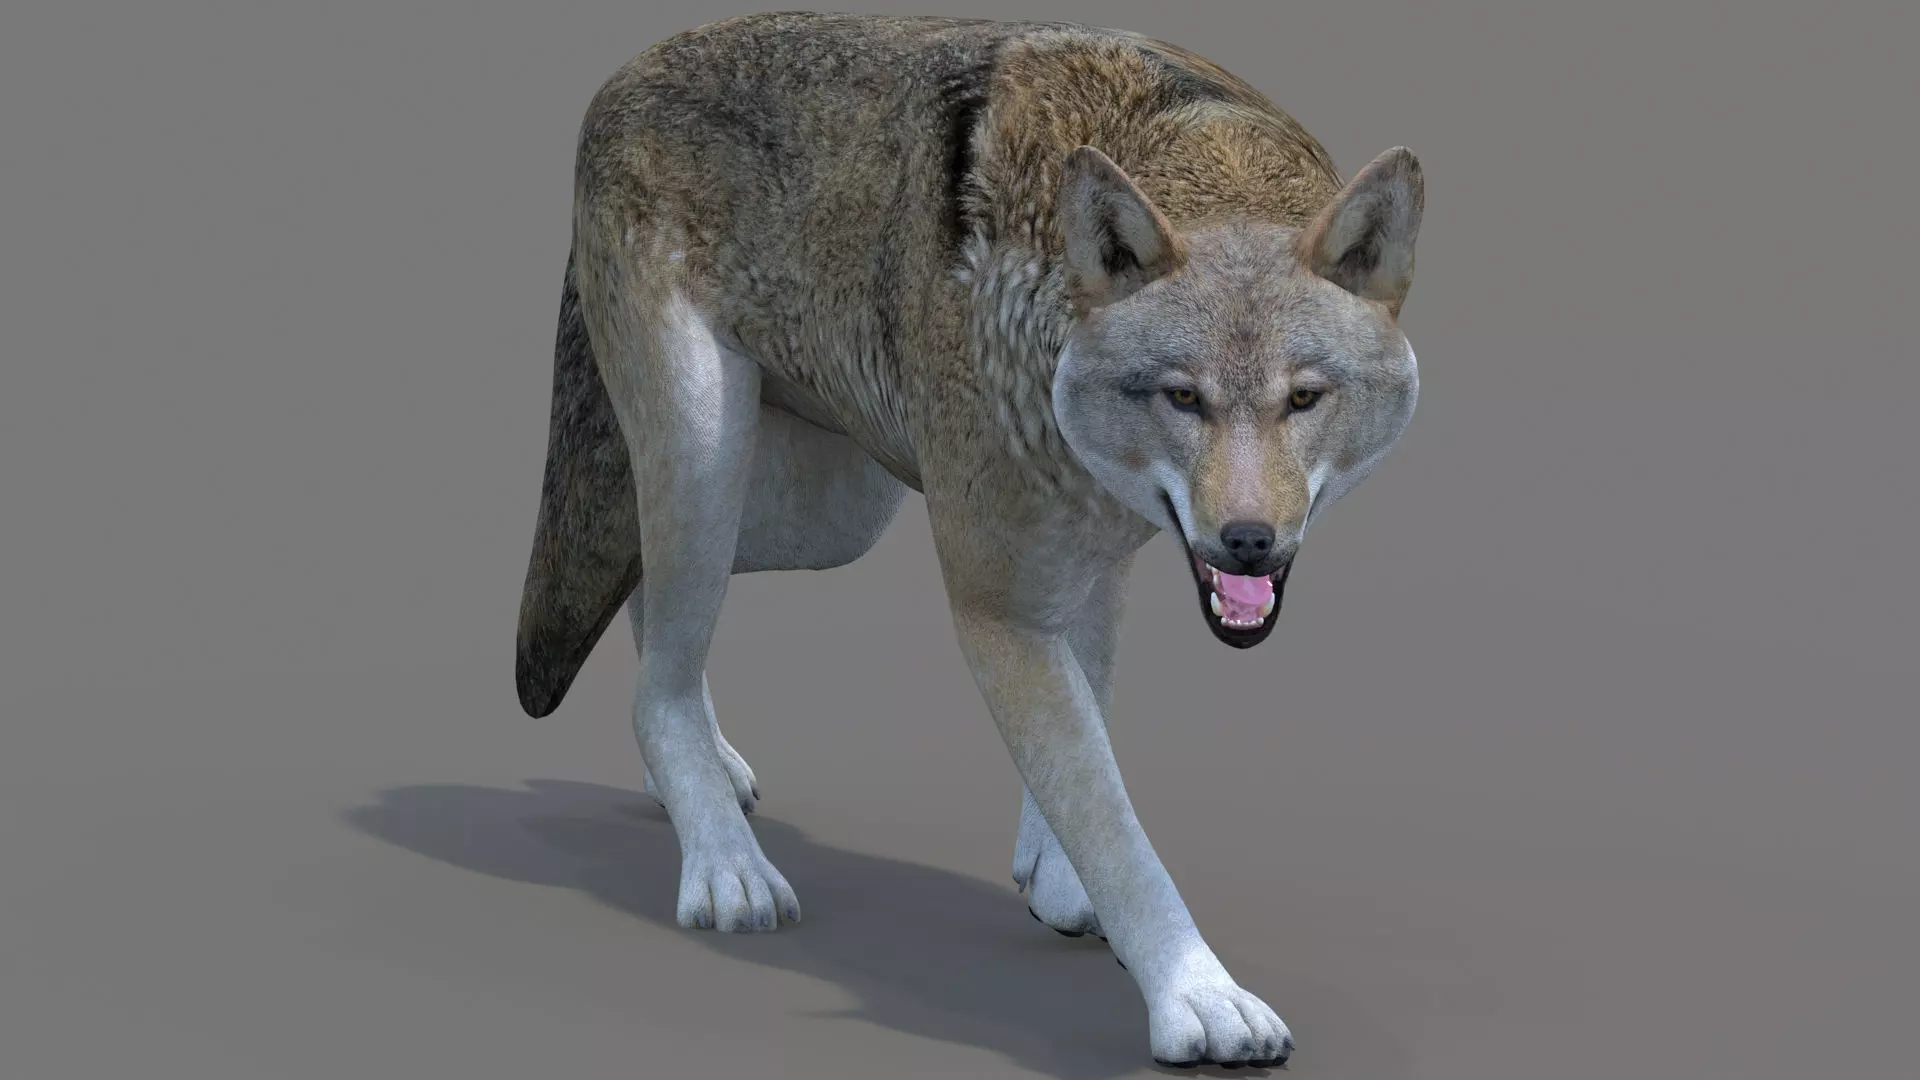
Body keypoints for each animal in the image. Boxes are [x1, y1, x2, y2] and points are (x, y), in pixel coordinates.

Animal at [512, 12, 1423, 1068]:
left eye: (1304, 399)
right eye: (1183, 398)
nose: (1248, 542)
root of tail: (622, 73)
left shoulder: (1098, 554)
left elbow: (1089, 732)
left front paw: (1055, 878)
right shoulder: (999, 605)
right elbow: (1114, 824)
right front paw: (1198, 996)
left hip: (823, 510)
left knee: (649, 598)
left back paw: (702, 775)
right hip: (713, 457)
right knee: (655, 670)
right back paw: (723, 864)